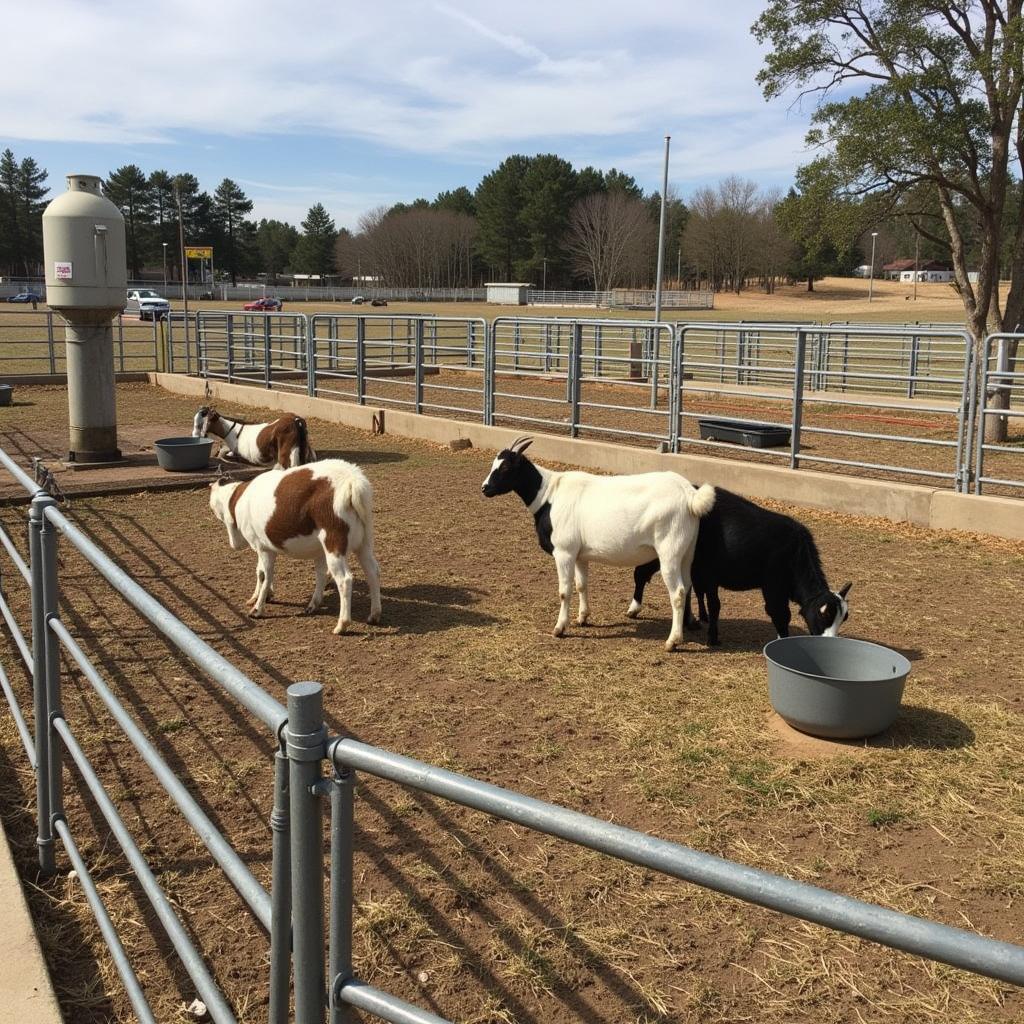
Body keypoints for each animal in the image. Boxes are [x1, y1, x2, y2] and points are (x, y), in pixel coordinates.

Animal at [207, 458, 380, 630]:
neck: (236, 499)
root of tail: (353, 481)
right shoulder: (275, 548)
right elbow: (269, 572)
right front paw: (263, 597)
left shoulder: (262, 547)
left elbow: (264, 575)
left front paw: (257, 609)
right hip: (363, 541)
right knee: (373, 571)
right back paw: (373, 615)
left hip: (334, 542)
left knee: (345, 580)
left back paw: (342, 625)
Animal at [479, 434, 712, 647]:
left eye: (506, 467)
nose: (484, 488)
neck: (549, 496)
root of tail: (689, 495)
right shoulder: (580, 555)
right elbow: (582, 585)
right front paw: (582, 618)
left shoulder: (564, 551)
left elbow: (564, 591)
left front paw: (559, 628)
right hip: (686, 551)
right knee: (688, 586)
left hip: (668, 551)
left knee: (678, 593)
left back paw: (673, 641)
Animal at [626, 483, 851, 643]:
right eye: (825, 614)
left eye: (844, 617)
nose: (831, 643)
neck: (794, 551)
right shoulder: (771, 586)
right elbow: (778, 614)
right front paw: (713, 638)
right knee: (641, 574)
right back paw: (635, 609)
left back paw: (693, 620)